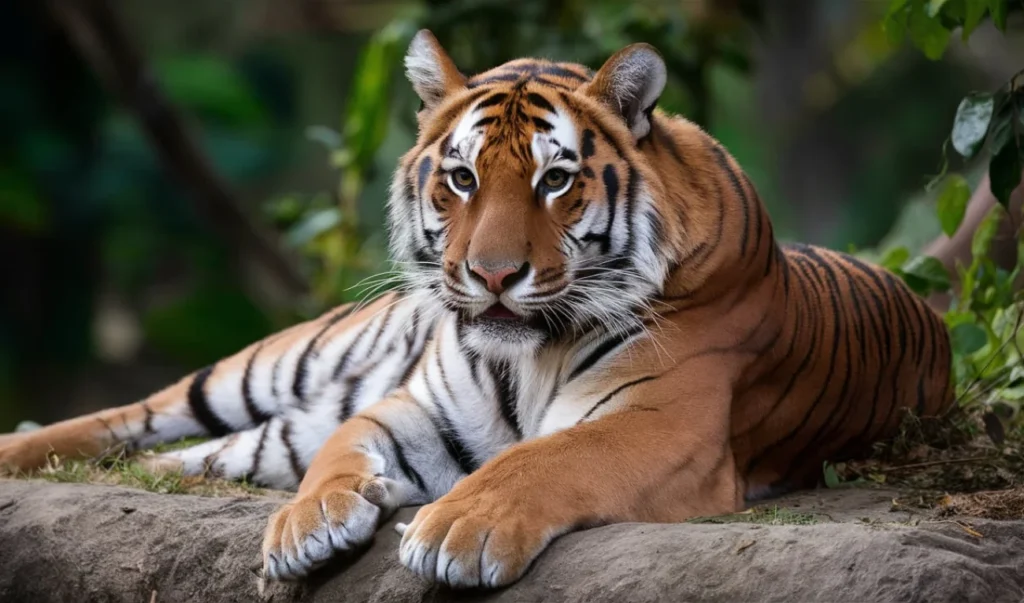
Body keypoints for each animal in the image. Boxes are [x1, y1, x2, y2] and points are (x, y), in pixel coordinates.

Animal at [0, 31, 954, 589]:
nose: (490, 275)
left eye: (556, 180)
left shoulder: (668, 424)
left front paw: (459, 526)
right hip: (280, 363)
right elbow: (340, 456)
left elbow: (546, 457)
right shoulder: (408, 407)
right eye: (460, 177)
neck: (530, 350)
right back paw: (21, 448)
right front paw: (312, 524)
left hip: (264, 430)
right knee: (138, 414)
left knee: (180, 457)